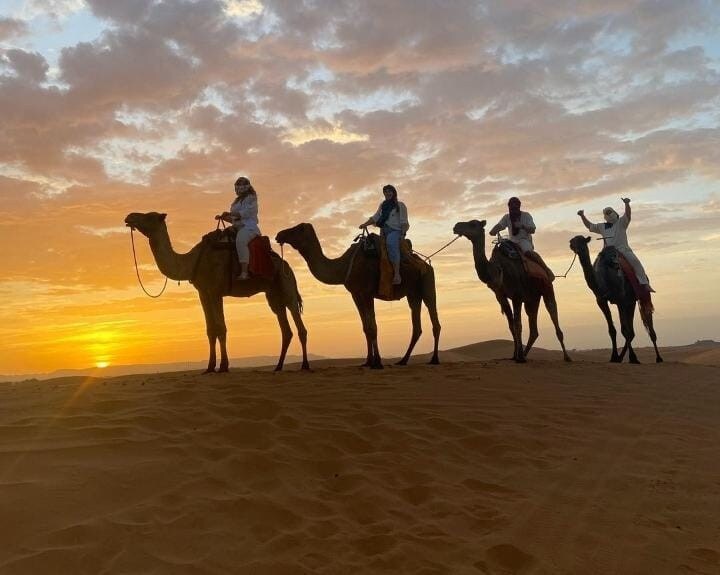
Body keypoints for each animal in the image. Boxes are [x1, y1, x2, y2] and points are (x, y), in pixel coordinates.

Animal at [124, 213, 310, 374]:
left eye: (149, 216)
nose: (129, 217)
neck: (192, 261)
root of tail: (287, 265)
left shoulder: (215, 292)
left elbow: (221, 328)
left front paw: (223, 366)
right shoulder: (203, 293)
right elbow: (210, 329)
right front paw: (209, 367)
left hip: (287, 286)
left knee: (299, 324)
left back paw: (305, 365)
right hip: (273, 295)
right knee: (285, 329)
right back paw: (278, 367)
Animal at [274, 224, 438, 368]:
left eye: (297, 229)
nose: (279, 235)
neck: (344, 266)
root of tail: (426, 263)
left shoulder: (367, 293)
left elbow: (373, 327)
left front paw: (377, 363)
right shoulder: (356, 294)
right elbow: (366, 328)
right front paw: (368, 362)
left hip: (428, 283)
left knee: (434, 317)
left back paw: (434, 359)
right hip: (413, 293)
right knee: (417, 326)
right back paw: (403, 360)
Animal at [452, 218, 572, 362]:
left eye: (473, 224)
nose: (456, 226)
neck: (499, 270)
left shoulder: (517, 296)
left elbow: (517, 324)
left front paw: (519, 357)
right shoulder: (500, 295)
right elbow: (511, 325)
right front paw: (515, 356)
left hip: (547, 289)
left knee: (553, 313)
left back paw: (566, 357)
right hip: (532, 299)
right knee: (534, 330)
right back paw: (524, 354)